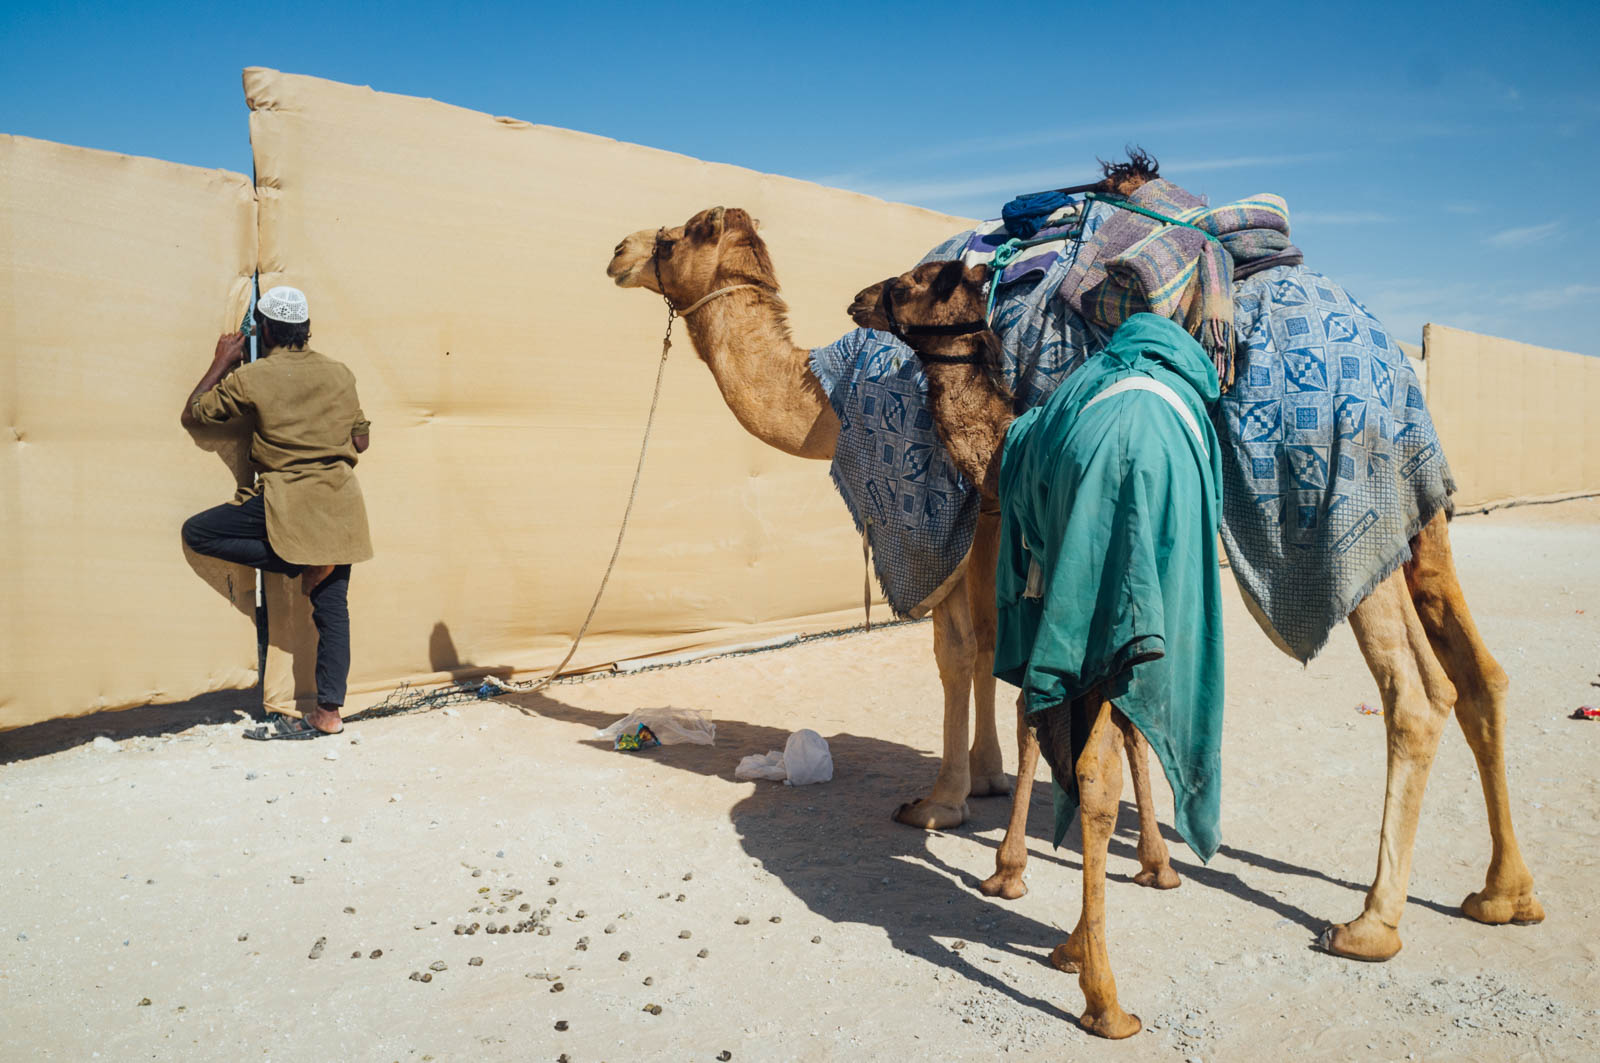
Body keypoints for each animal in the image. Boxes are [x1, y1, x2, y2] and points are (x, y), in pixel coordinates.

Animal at [606, 206, 1007, 830]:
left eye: (669, 242)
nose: (619, 250)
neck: (831, 398)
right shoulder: (983, 524)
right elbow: (988, 639)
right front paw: (987, 779)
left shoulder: (937, 519)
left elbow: (956, 650)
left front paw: (941, 803)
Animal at [848, 255, 1544, 1037]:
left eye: (914, 281)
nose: (860, 298)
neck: (1009, 443)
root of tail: (1402, 377)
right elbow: (1116, 726)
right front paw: (1141, 874)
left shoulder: (1078, 580)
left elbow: (1062, 735)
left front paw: (1018, 883)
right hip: (1421, 526)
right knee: (1483, 675)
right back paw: (1504, 895)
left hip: (1354, 524)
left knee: (1419, 693)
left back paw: (1364, 926)